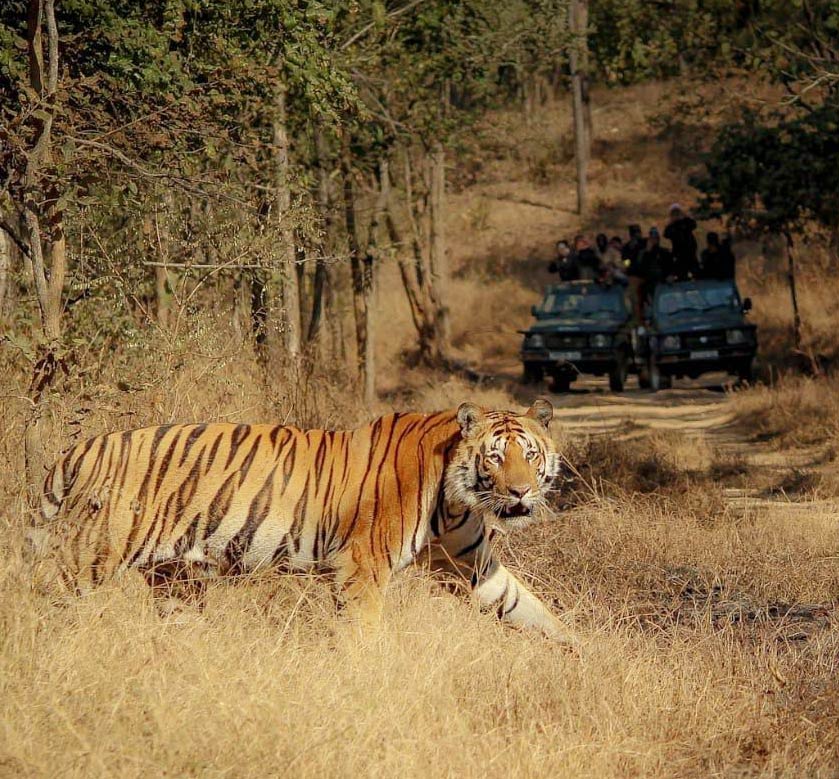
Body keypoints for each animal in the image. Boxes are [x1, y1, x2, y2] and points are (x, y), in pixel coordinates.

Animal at [36, 400, 576, 644]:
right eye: (495, 458)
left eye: (529, 455)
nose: (521, 491)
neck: (456, 499)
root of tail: (73, 452)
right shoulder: (361, 568)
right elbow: (362, 635)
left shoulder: (472, 564)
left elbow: (524, 604)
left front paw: (580, 651)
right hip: (87, 561)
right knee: (44, 602)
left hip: (174, 582)